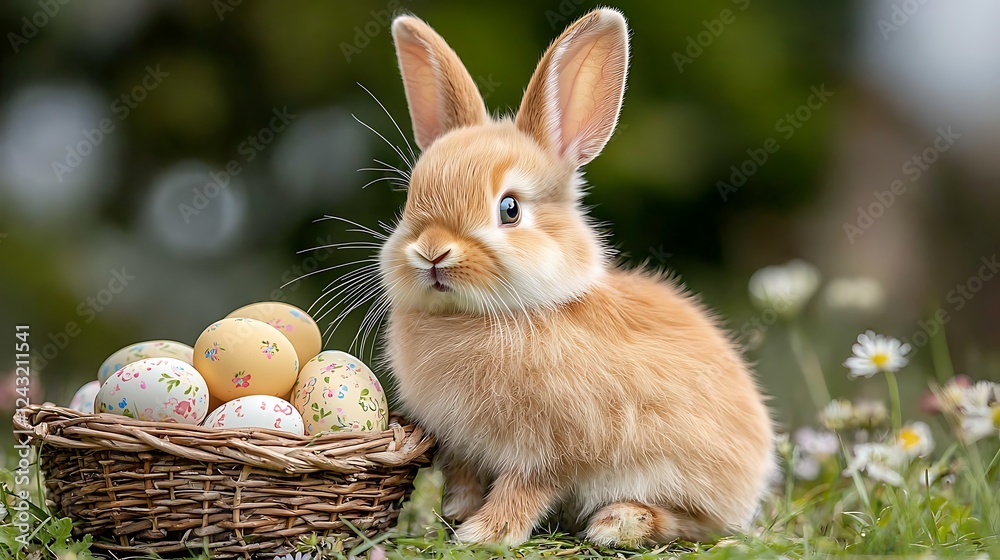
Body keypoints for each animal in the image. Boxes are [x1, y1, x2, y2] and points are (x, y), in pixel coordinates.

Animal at [378, 8, 775, 548]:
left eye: (509, 209)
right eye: (410, 200)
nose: (431, 252)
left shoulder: (551, 451)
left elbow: (524, 488)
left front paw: (485, 534)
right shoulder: (460, 447)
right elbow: (464, 478)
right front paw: (458, 516)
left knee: (692, 523)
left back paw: (617, 523)